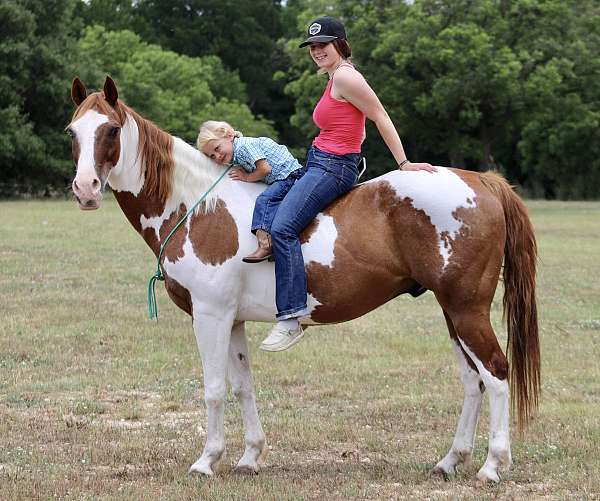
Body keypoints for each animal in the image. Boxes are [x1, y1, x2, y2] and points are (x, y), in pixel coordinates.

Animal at [69, 77, 540, 480]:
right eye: (73, 132)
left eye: (111, 130)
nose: (85, 188)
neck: (199, 207)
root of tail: (482, 182)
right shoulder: (233, 320)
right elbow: (243, 388)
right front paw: (249, 457)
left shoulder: (210, 315)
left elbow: (214, 388)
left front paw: (206, 461)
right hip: (451, 312)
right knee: (473, 381)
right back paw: (450, 461)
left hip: (466, 311)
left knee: (496, 374)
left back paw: (492, 466)